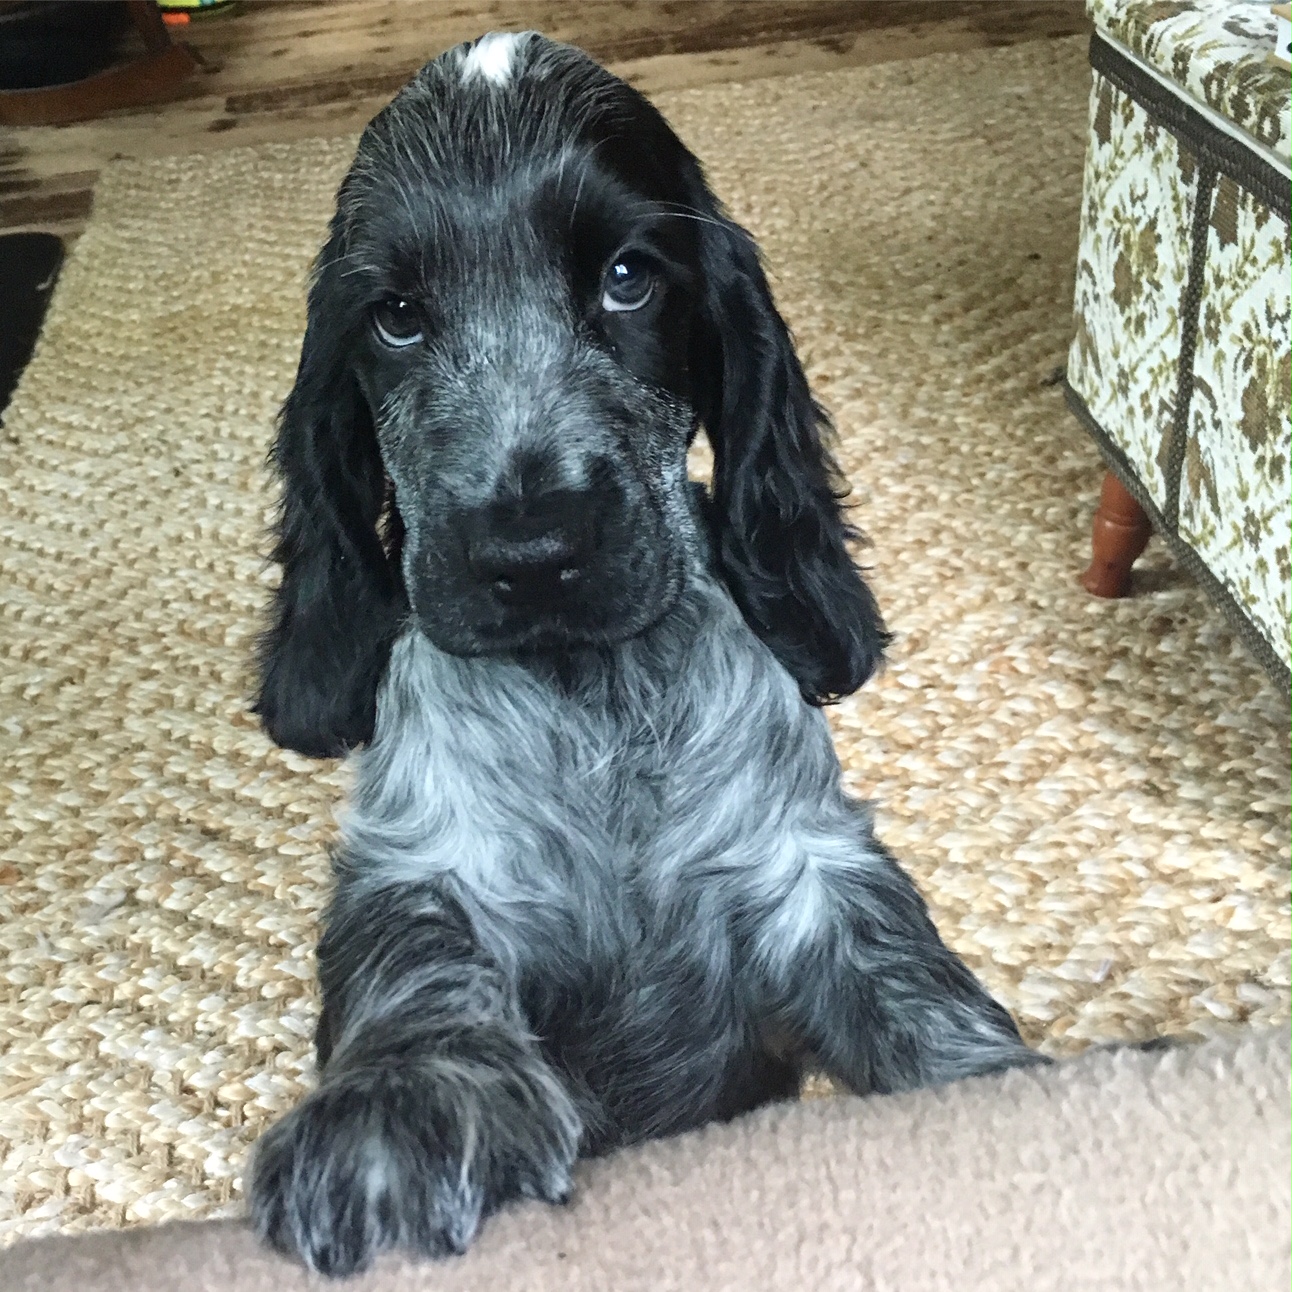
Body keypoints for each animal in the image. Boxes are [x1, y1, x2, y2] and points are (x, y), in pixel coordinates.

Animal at [249, 35, 1038, 1276]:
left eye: (627, 279)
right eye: (396, 317)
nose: (531, 553)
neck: (593, 695)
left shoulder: (803, 863)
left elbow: (911, 985)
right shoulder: (423, 856)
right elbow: (416, 958)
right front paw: (401, 1107)